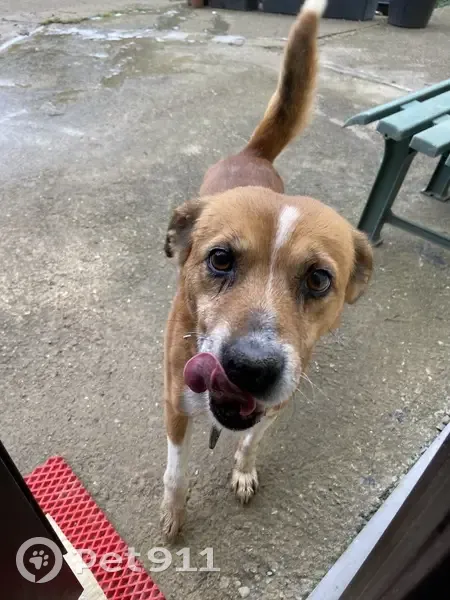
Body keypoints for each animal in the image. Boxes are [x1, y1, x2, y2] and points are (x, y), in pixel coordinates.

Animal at [161, 0, 373, 542]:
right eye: (219, 259)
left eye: (318, 279)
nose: (250, 369)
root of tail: (253, 154)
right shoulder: (174, 404)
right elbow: (175, 470)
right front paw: (173, 512)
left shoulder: (280, 401)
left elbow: (253, 440)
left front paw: (242, 470)